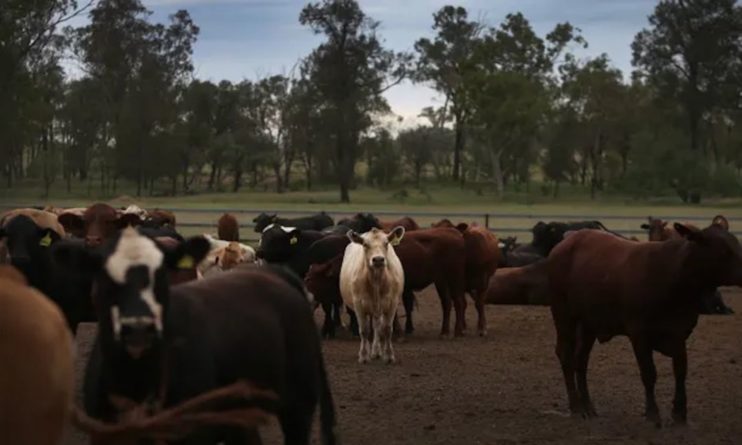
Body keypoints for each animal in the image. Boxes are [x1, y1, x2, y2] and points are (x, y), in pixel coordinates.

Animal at [340, 227, 404, 362]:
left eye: (386, 243)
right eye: (365, 244)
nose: (378, 259)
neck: (377, 281)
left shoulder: (392, 304)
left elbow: (387, 329)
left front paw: (389, 355)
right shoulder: (359, 305)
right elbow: (364, 330)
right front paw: (364, 356)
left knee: (377, 327)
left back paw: (376, 352)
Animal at [548, 222, 742, 424]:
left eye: (738, 246)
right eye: (724, 251)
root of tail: (569, 239)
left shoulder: (679, 333)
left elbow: (680, 371)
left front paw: (680, 413)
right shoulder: (639, 334)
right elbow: (649, 373)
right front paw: (652, 413)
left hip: (588, 324)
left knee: (581, 360)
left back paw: (588, 407)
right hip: (563, 314)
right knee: (566, 354)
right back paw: (576, 407)